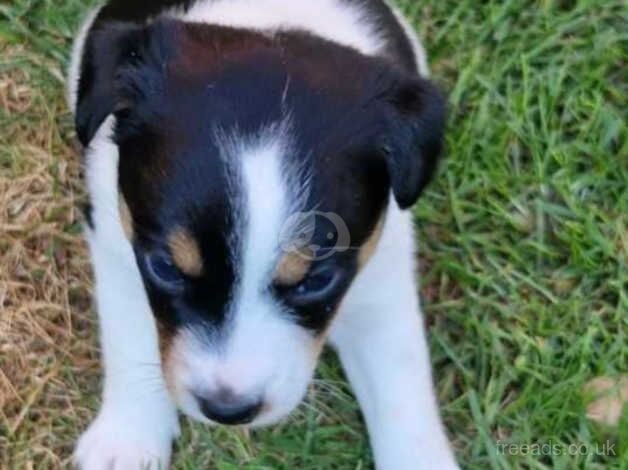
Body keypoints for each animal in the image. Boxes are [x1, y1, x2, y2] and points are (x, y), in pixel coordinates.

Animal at [68, 0, 458, 470]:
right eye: (166, 268)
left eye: (316, 280)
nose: (227, 409)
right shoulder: (116, 245)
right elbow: (130, 337)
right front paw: (127, 440)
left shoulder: (382, 279)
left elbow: (402, 386)